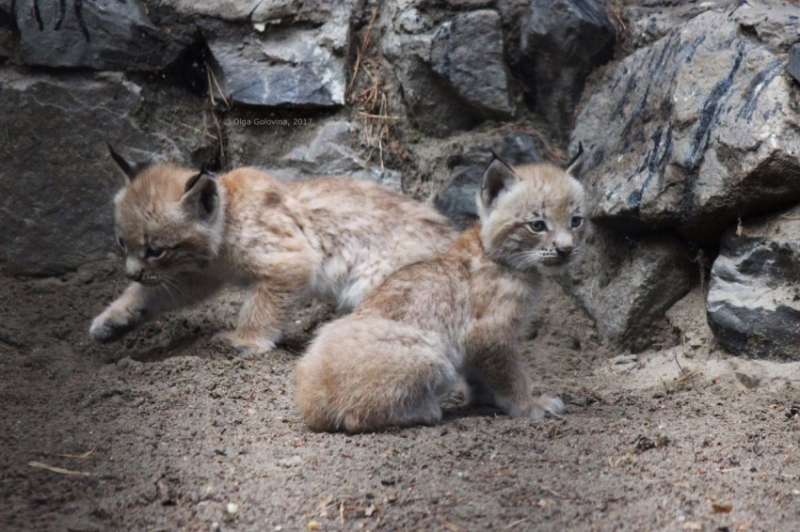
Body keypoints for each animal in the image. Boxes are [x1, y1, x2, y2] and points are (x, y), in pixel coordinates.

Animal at [88, 145, 456, 354]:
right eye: (122, 243)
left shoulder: (291, 260)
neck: (225, 223)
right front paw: (114, 319)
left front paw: (245, 341)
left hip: (381, 281)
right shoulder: (196, 274)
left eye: (156, 250)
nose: (131, 272)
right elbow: (150, 293)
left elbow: (260, 307)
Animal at [294, 150, 588, 432]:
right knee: (356, 416)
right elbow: (511, 374)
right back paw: (426, 411)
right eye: (537, 225)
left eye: (576, 221)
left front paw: (484, 399)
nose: (566, 250)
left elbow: (479, 373)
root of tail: (312, 401)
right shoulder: (491, 332)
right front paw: (528, 406)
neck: (501, 257)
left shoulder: (475, 340)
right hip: (433, 353)